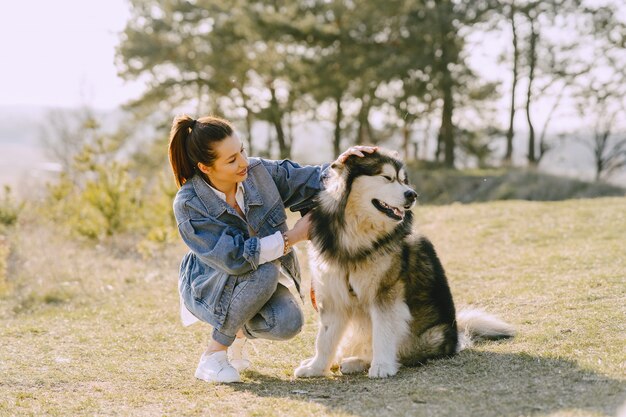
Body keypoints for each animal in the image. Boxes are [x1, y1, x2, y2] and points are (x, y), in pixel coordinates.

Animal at [294, 149, 516, 376]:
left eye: (403, 180)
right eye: (387, 177)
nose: (412, 194)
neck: (356, 237)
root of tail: (456, 336)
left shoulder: (385, 292)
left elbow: (382, 331)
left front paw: (381, 366)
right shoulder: (333, 294)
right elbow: (324, 339)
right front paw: (315, 367)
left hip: (429, 336)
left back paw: (358, 361)